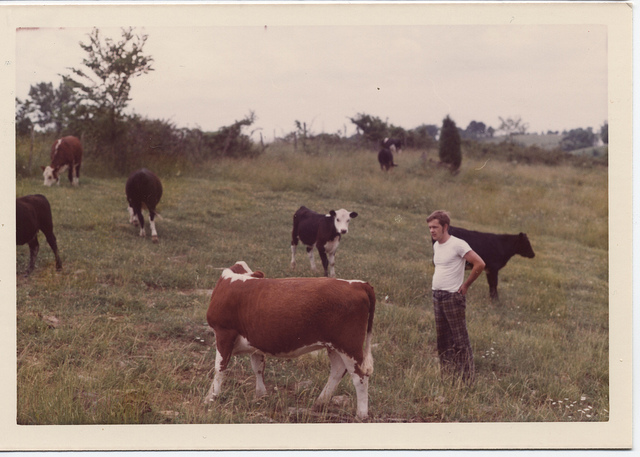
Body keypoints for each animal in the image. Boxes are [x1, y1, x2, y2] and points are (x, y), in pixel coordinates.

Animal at [204, 261, 376, 420]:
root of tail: (359, 284)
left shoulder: (223, 333)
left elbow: (219, 368)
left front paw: (211, 397)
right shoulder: (255, 342)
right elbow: (258, 368)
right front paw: (260, 395)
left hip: (349, 345)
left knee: (360, 377)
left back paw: (361, 414)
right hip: (334, 346)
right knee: (338, 370)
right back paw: (320, 403)